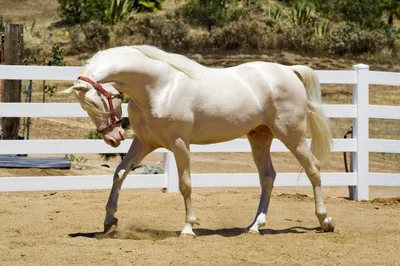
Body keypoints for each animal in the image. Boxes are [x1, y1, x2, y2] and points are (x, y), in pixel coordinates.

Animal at [64, 45, 334, 237]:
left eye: (104, 100)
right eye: (86, 107)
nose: (113, 138)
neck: (159, 87)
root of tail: (289, 71)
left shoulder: (180, 143)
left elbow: (185, 184)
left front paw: (188, 228)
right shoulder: (145, 142)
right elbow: (119, 173)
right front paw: (109, 222)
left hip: (292, 135)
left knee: (313, 169)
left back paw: (325, 221)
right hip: (260, 137)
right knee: (267, 176)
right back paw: (255, 226)